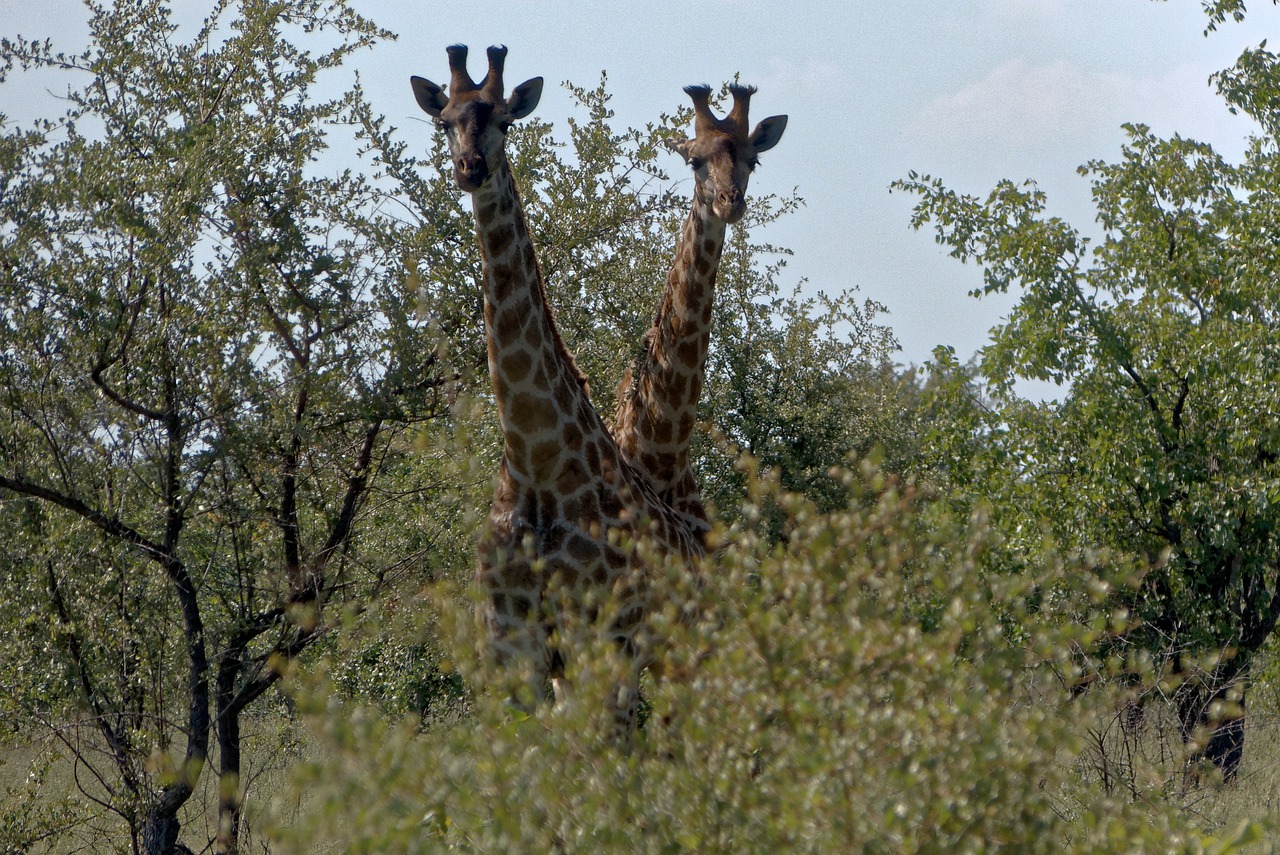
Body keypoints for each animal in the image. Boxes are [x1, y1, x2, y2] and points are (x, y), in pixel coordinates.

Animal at [414, 46, 706, 732]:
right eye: (445, 122)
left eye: (505, 121)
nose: (471, 167)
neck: (534, 458)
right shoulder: (511, 643)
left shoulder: (592, 633)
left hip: (665, 646)